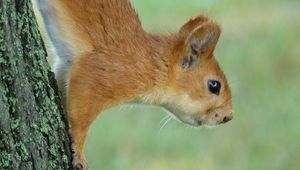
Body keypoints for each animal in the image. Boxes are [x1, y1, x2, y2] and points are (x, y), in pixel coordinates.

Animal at [33, 0, 234, 169]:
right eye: (214, 86)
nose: (228, 117)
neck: (156, 66)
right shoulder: (98, 74)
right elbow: (80, 119)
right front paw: (79, 154)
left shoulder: (65, 68)